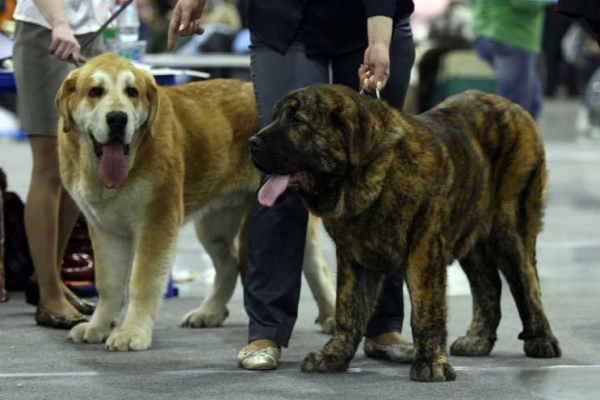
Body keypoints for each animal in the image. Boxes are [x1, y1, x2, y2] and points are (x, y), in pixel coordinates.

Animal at [247, 83, 556, 382]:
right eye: (275, 117)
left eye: (297, 122)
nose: (252, 142)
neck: (376, 173)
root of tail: (513, 106)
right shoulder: (353, 257)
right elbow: (348, 309)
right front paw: (334, 355)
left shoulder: (424, 251)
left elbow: (426, 311)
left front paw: (431, 363)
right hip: (471, 236)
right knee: (488, 284)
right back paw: (477, 340)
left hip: (510, 229)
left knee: (526, 280)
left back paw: (541, 339)